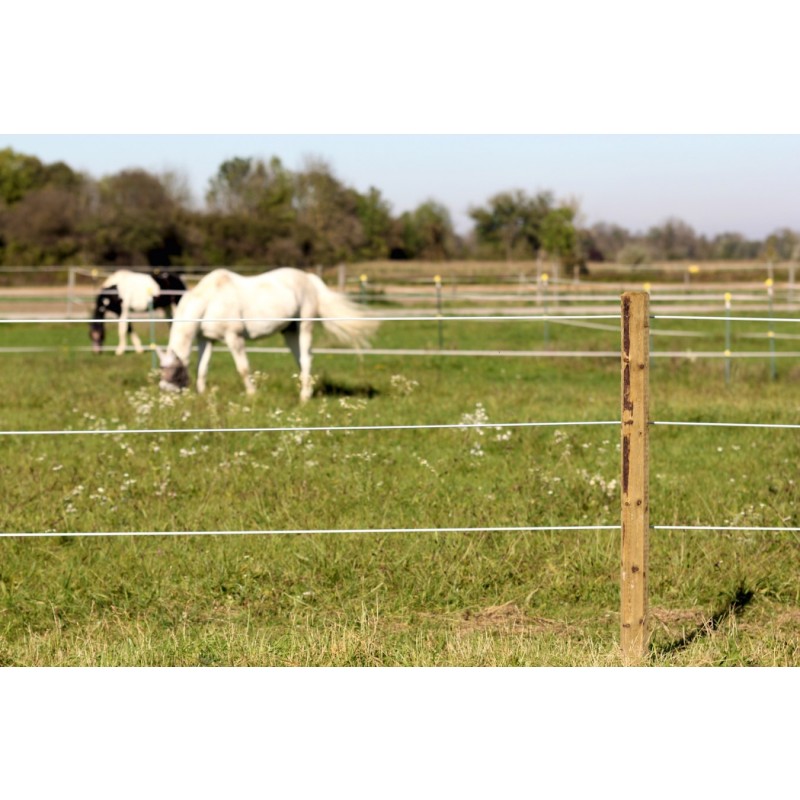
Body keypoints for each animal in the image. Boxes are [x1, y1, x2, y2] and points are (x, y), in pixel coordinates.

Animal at [156, 268, 378, 402]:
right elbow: (202, 368)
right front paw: (202, 394)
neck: (210, 299)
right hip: (289, 331)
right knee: (301, 359)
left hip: (304, 326)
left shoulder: (234, 338)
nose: (165, 393)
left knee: (306, 359)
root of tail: (309, 279)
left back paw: (304, 397)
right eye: (162, 370)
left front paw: (252, 394)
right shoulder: (207, 340)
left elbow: (243, 369)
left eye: (174, 372)